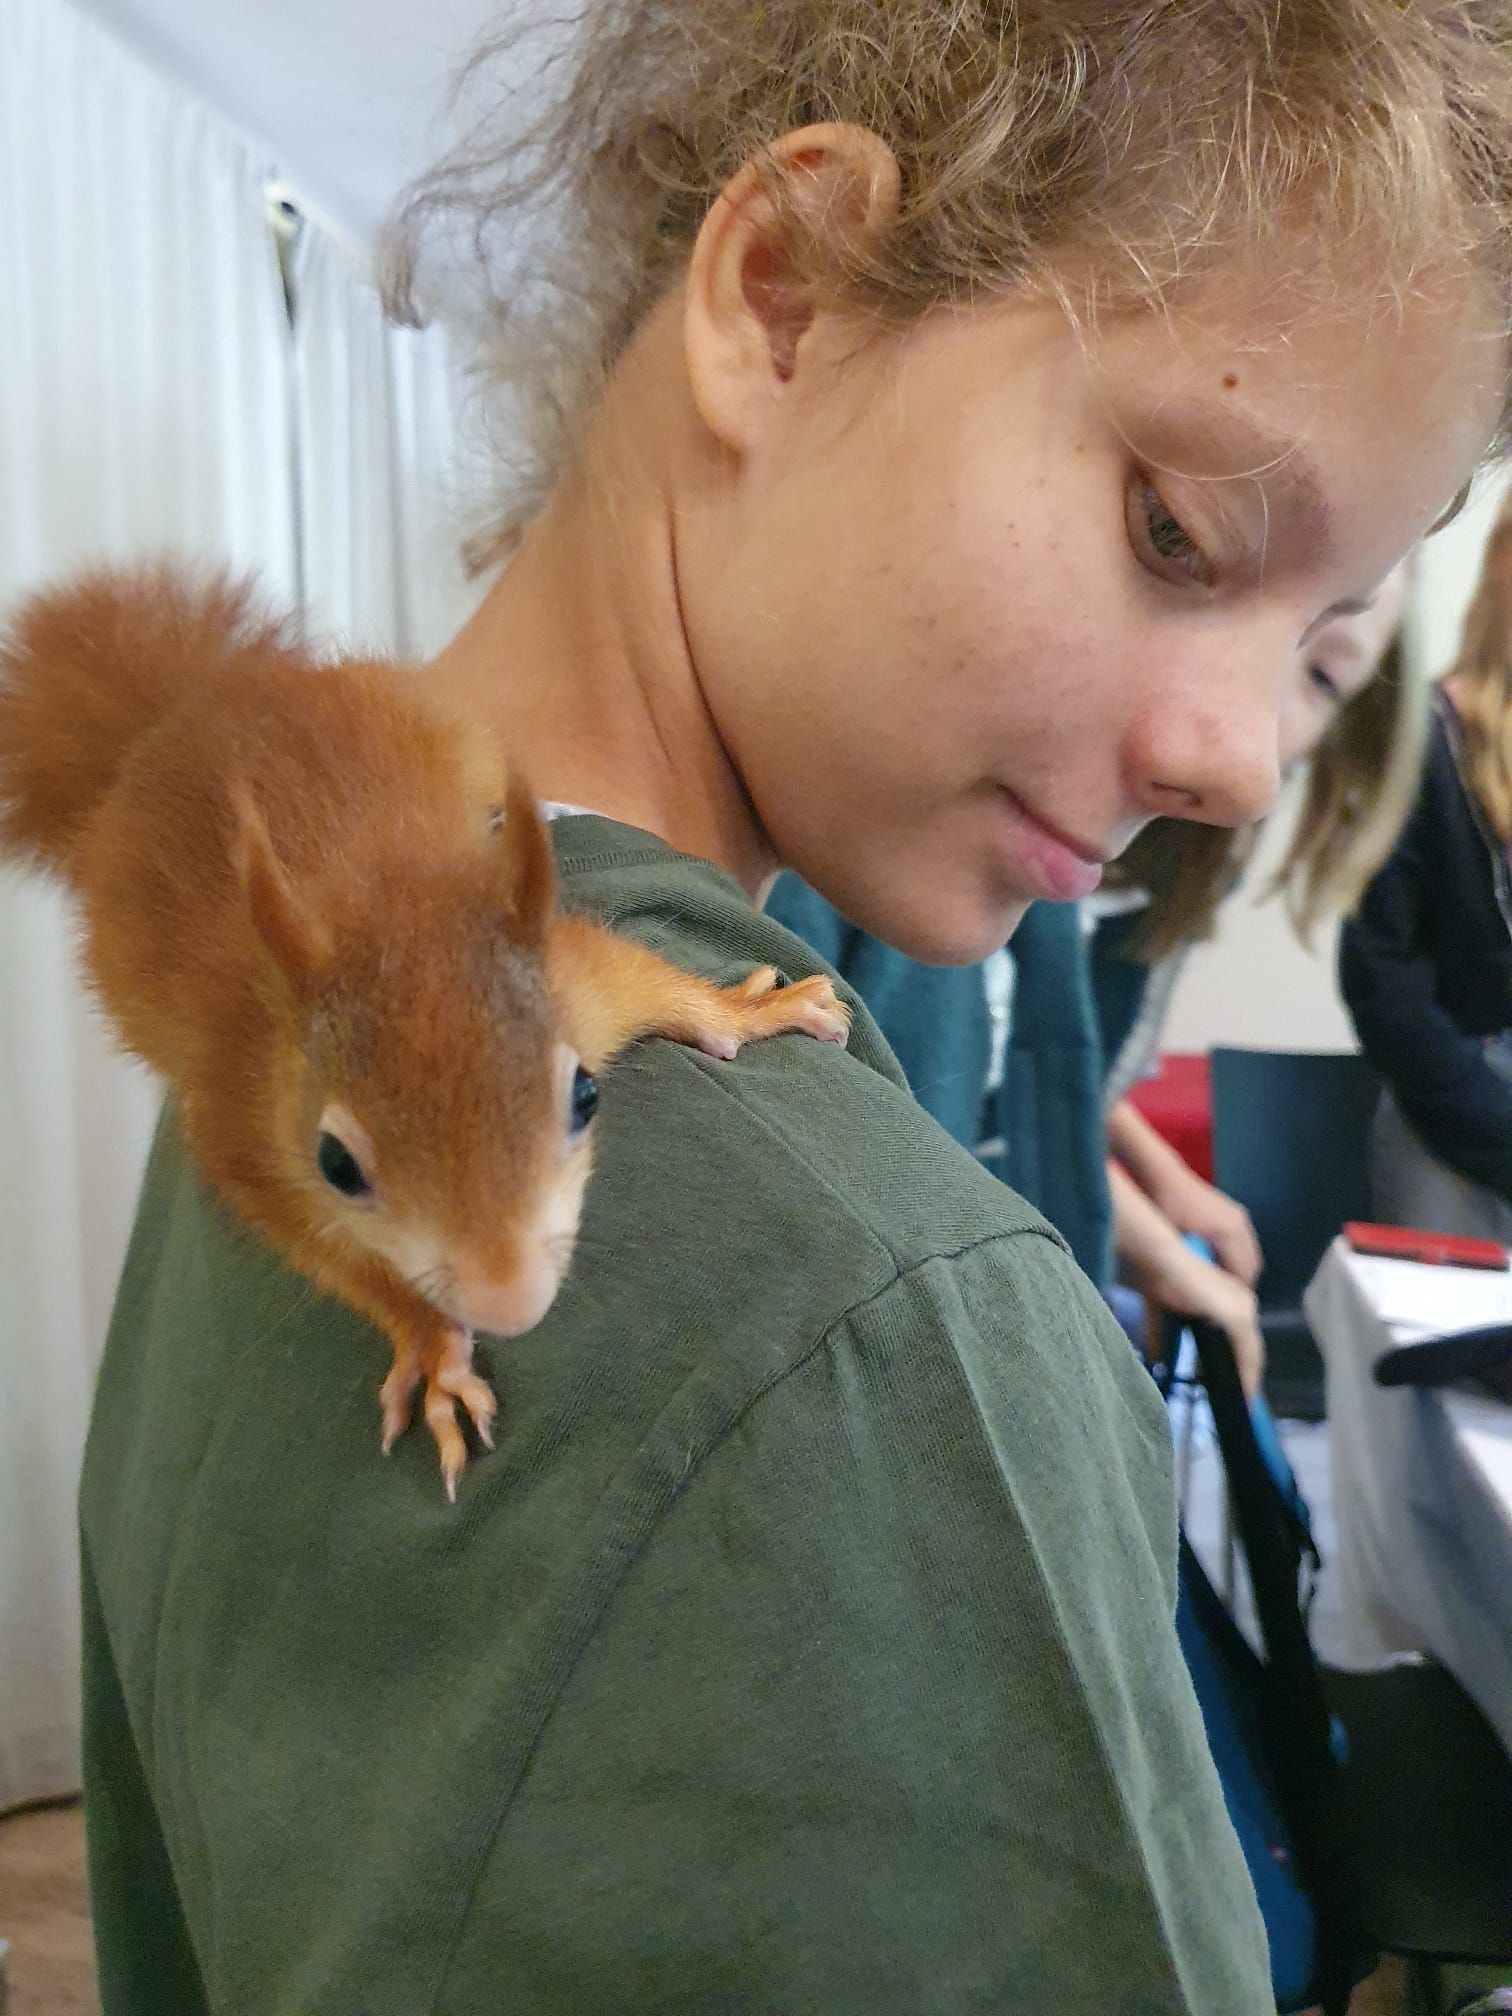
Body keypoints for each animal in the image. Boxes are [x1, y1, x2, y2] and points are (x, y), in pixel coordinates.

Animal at [0, 566, 848, 1494]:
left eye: (585, 1096)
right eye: (337, 1164)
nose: (507, 1301)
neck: (385, 910)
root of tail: (188, 710)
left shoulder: (578, 981)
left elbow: (651, 984)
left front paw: (754, 1011)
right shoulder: (249, 1132)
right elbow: (325, 1252)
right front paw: (434, 1346)